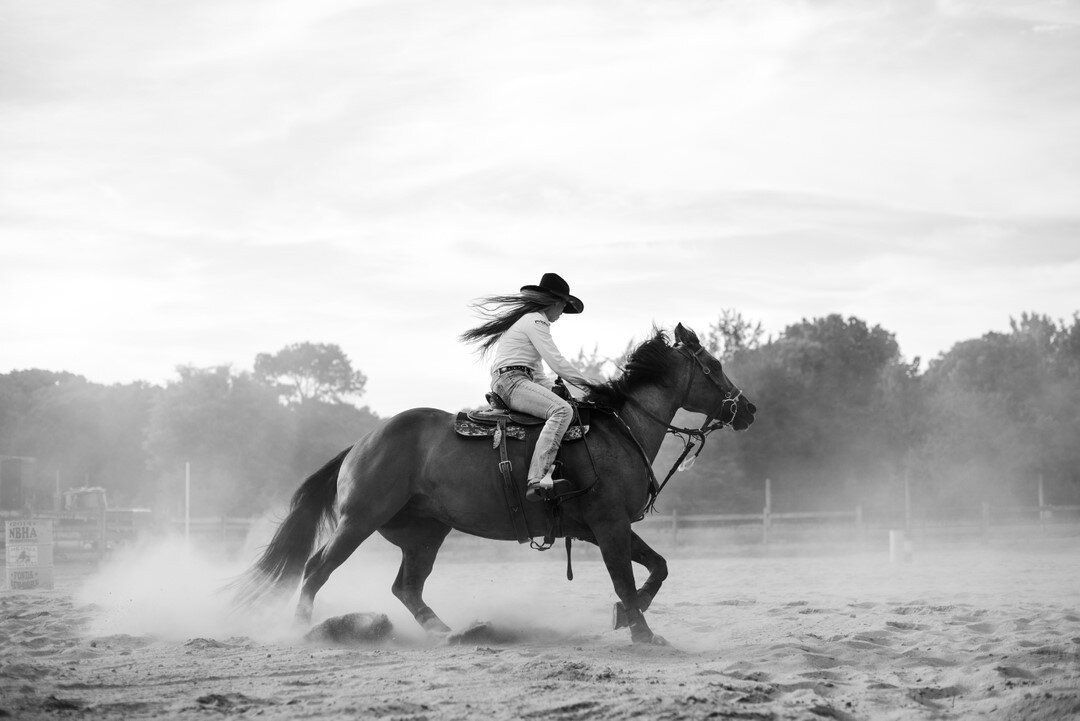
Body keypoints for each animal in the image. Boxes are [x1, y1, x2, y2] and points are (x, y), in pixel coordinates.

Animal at [234, 323, 760, 643]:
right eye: (713, 367)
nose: (749, 409)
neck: (619, 429)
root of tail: (362, 442)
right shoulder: (608, 526)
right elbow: (627, 580)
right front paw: (642, 632)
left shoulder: (605, 528)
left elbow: (657, 567)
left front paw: (626, 618)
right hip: (358, 521)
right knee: (317, 568)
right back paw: (302, 630)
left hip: (424, 534)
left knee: (407, 588)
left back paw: (447, 632)